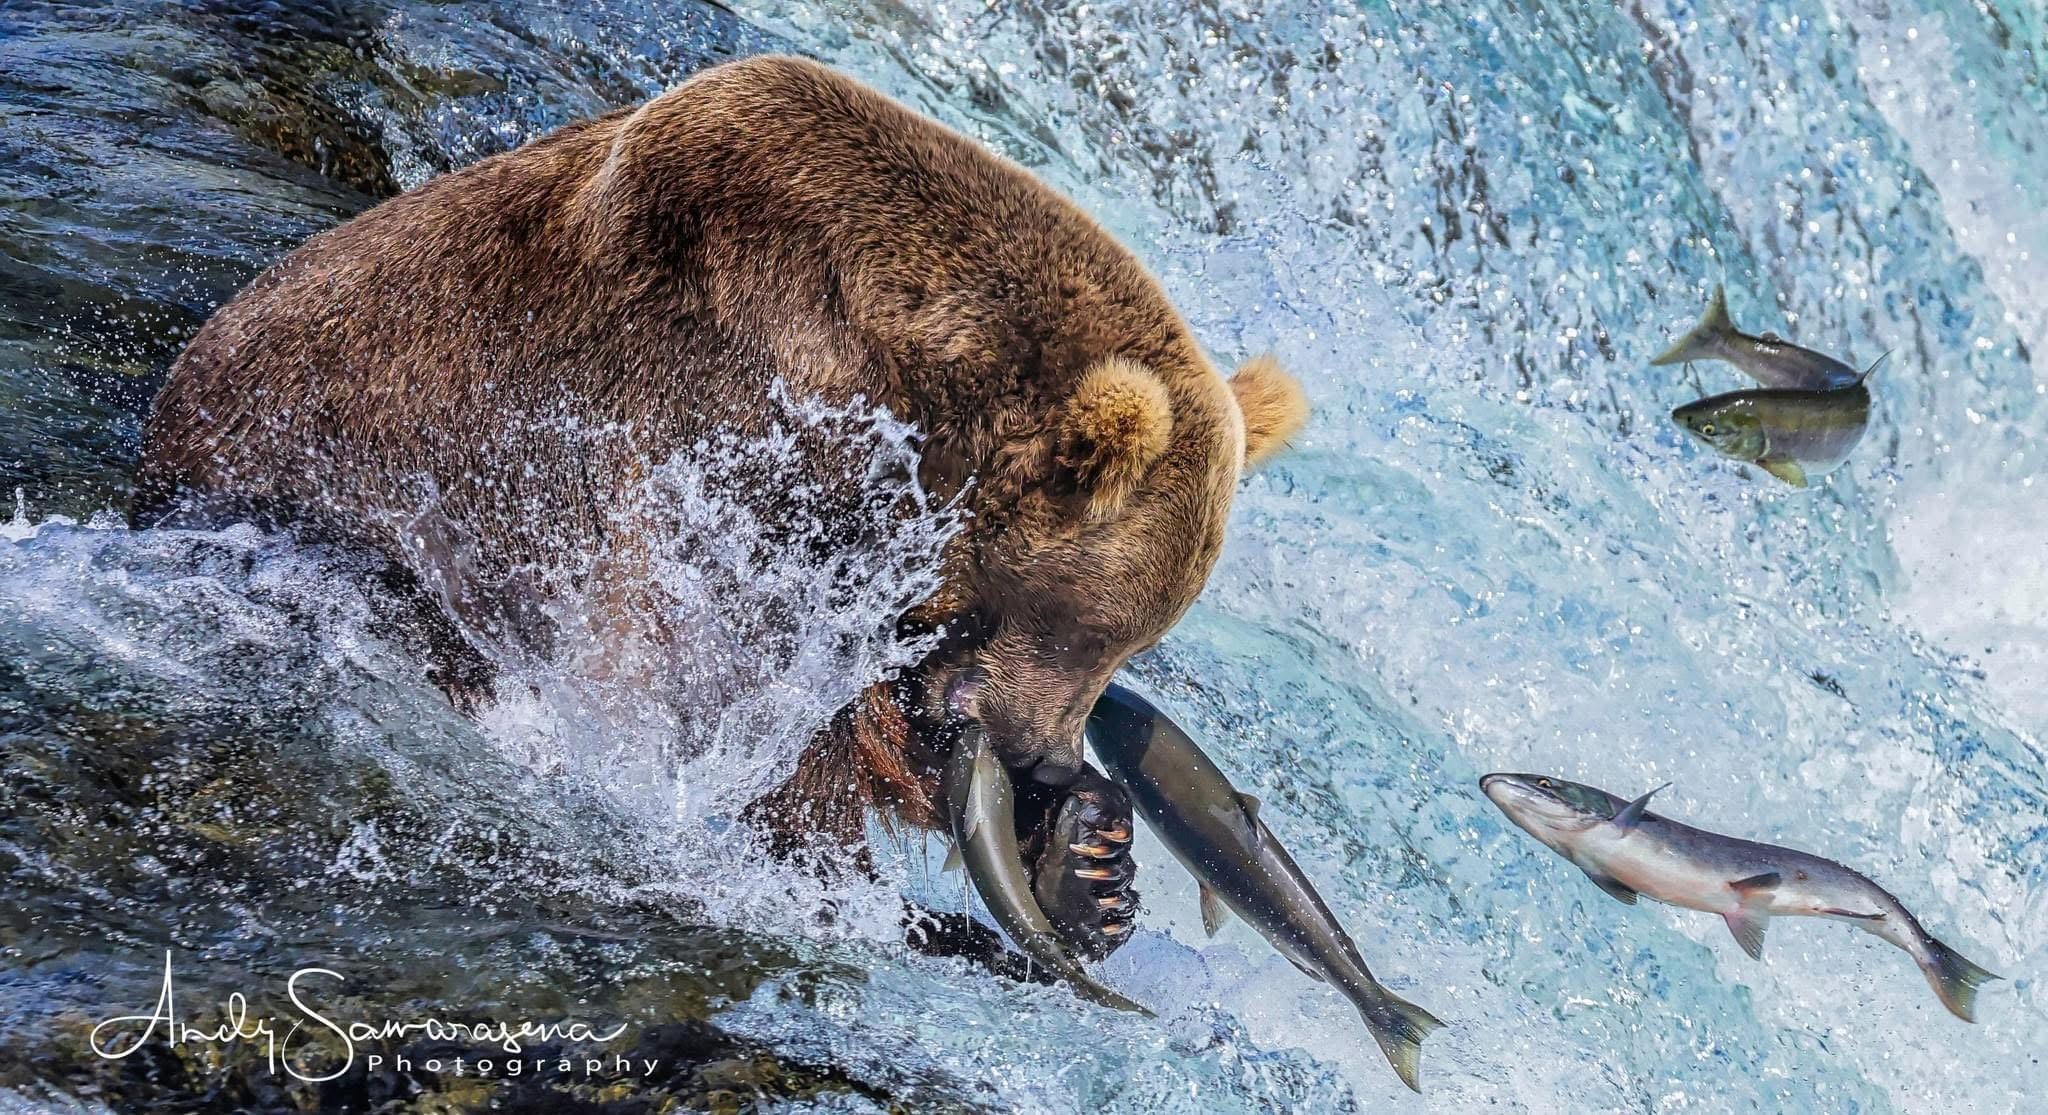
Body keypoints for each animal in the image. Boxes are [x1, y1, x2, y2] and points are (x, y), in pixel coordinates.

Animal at [136, 55, 1307, 959]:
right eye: (1093, 627)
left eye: (1137, 640)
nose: (1046, 760)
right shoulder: (707, 453)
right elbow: (758, 718)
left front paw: (1090, 857)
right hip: (349, 526)